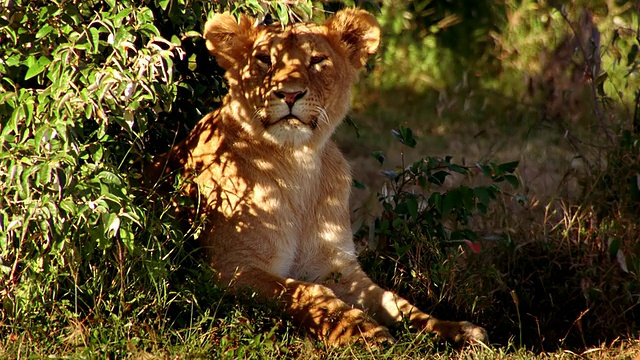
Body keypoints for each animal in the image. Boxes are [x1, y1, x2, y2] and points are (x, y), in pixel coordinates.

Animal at [151, 7, 490, 346]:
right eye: (264, 59)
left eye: (316, 60)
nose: (290, 94)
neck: (297, 163)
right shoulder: (231, 268)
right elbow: (308, 292)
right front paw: (363, 332)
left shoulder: (335, 265)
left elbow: (395, 302)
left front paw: (455, 329)